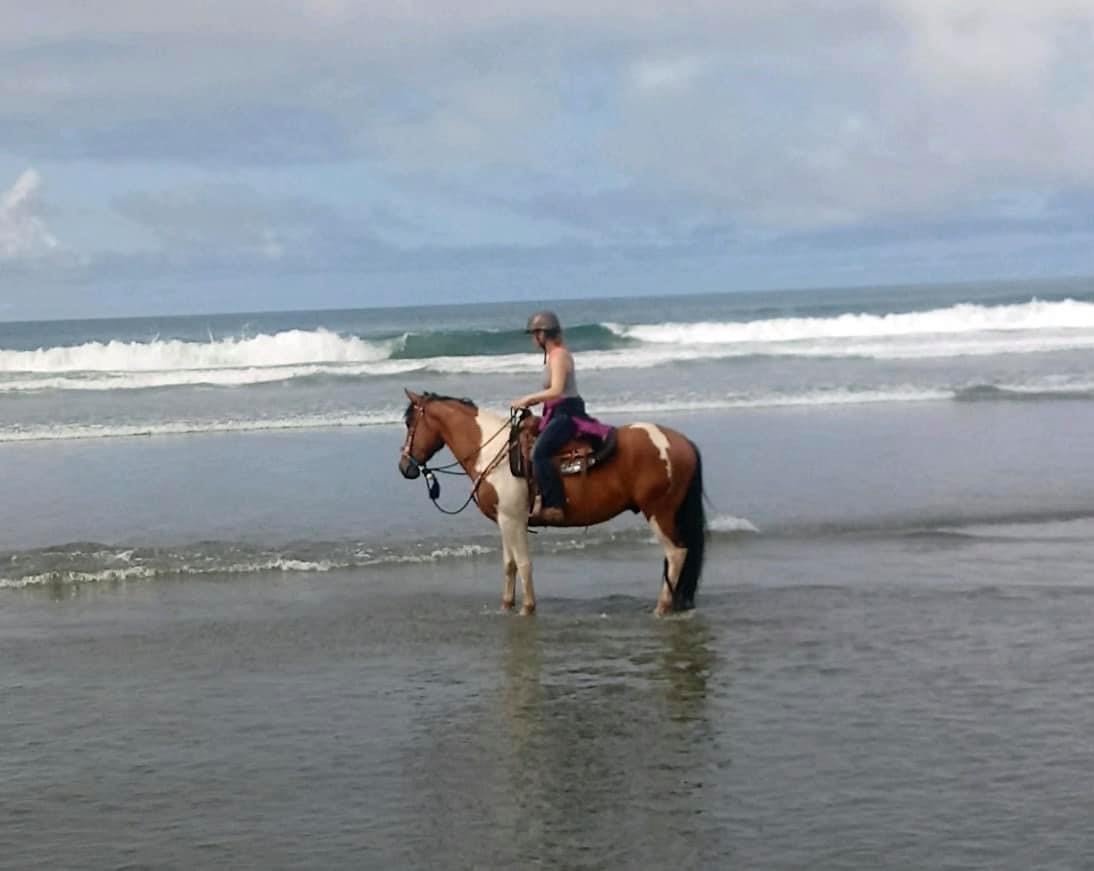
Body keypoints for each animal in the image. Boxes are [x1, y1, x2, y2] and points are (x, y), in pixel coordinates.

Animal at [398, 391, 704, 617]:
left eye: (410, 423)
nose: (404, 467)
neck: (491, 451)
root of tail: (681, 441)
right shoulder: (504, 520)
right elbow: (509, 564)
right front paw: (506, 606)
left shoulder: (514, 519)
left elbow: (523, 563)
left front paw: (527, 609)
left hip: (659, 512)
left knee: (676, 553)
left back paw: (661, 608)